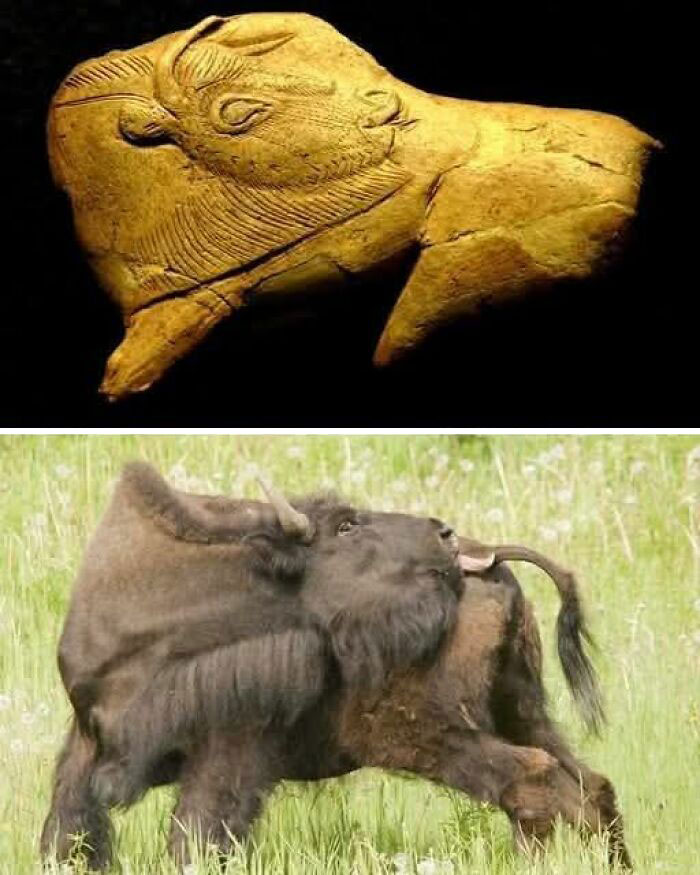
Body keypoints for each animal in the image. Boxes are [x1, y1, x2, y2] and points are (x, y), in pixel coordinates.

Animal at [41, 462, 629, 869]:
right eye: (346, 525)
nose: (444, 535)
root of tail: (493, 564)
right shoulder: (87, 741)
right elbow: (67, 831)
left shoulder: (226, 755)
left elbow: (196, 837)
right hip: (522, 710)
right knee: (588, 787)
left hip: (436, 736)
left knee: (536, 786)